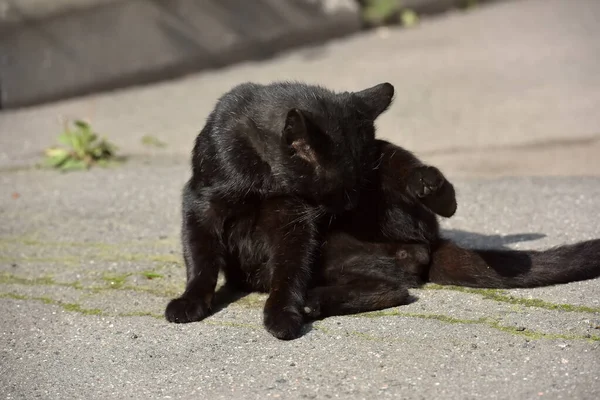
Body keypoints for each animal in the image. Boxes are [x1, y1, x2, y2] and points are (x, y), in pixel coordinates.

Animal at [166, 83, 396, 340]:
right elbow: (200, 261)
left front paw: (283, 313)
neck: (263, 178)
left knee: (393, 289)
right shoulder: (201, 205)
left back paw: (313, 302)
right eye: (342, 190)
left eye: (362, 184)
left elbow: (290, 270)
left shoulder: (292, 220)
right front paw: (190, 300)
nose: (351, 206)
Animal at [304, 139, 600, 320]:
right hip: (343, 265)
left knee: (395, 162)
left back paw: (430, 186)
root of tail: (432, 243)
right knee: (390, 289)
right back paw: (311, 304)